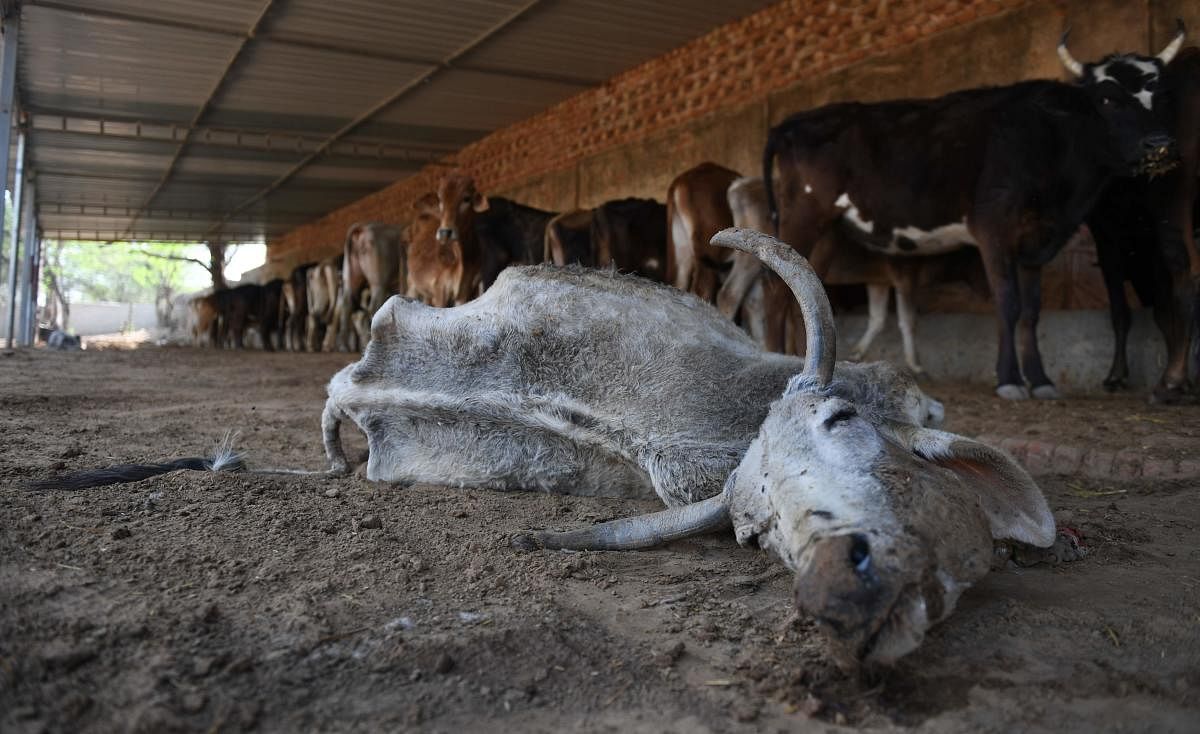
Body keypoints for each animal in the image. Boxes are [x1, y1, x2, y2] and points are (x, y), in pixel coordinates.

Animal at [1075, 24, 1200, 400]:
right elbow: (1159, 308)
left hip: (1174, 202)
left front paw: (1118, 375)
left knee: (1187, 276)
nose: (1158, 143)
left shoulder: (1108, 234)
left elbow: (1126, 308)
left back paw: (1170, 381)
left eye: (1159, 95)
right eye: (1107, 99)